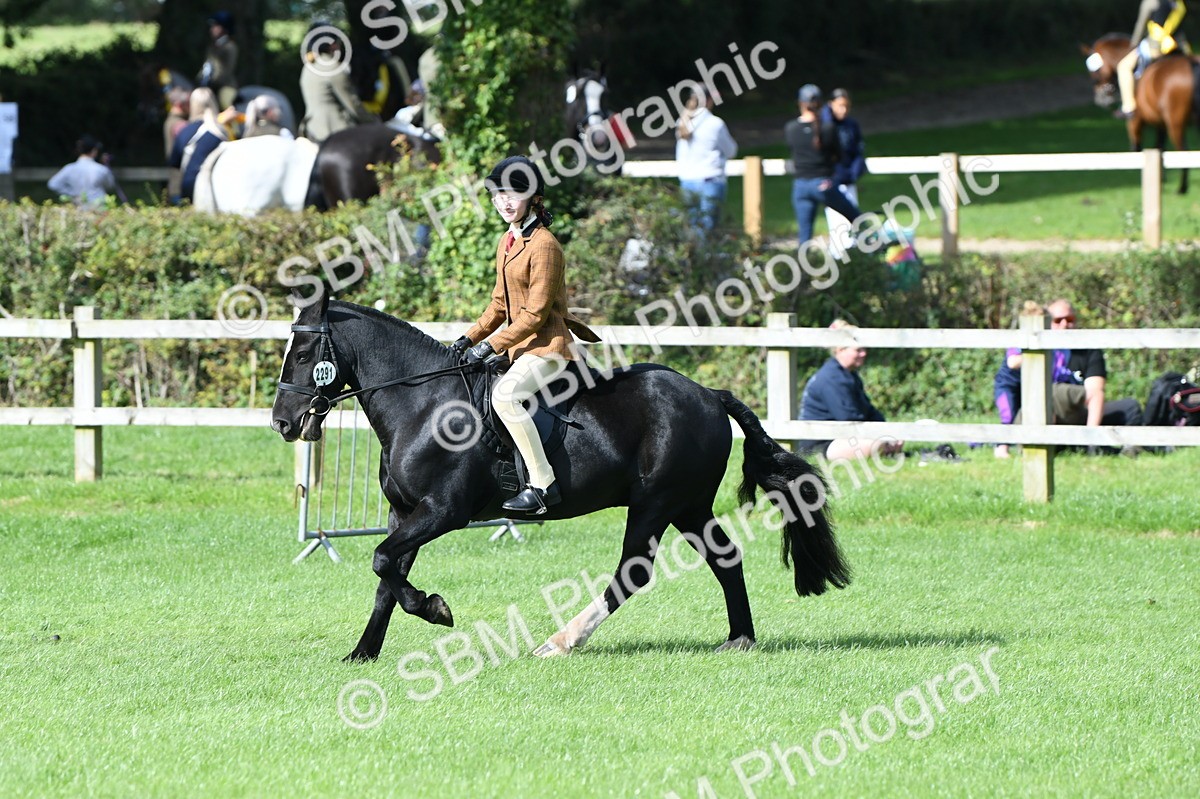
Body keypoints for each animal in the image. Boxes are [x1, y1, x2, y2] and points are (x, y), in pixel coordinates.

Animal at [270, 294, 849, 661]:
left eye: (304, 352)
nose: (282, 423)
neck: (423, 404)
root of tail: (709, 394)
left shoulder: (443, 512)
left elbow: (381, 560)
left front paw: (435, 610)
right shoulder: (404, 513)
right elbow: (386, 578)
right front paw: (363, 652)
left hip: (655, 505)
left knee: (632, 573)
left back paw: (561, 642)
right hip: (689, 507)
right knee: (725, 558)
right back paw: (740, 638)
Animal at [1082, 33, 1200, 193]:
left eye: (1094, 72)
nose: (1100, 100)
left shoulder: (1135, 121)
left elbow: (1137, 148)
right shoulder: (1160, 124)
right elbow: (1159, 147)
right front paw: (1160, 179)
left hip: (1175, 124)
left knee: (1184, 151)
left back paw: (1182, 188)